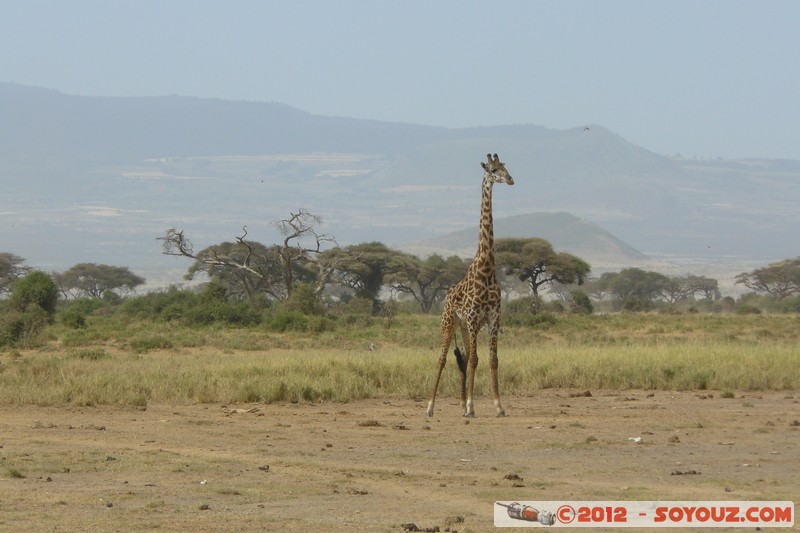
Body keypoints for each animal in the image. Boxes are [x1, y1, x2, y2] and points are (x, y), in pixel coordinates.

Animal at [428, 152, 516, 418]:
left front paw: (498, 406)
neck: (487, 269)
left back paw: (459, 402)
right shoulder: (474, 318)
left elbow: (492, 360)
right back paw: (431, 407)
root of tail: (447, 297)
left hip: (465, 328)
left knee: (464, 358)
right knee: (443, 359)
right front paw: (471, 406)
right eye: (492, 169)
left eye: (505, 166)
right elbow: (477, 359)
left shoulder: (493, 318)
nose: (510, 179)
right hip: (450, 323)